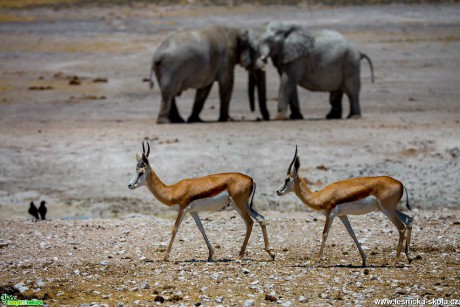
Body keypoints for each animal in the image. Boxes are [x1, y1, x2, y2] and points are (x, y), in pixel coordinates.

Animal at [127, 142, 274, 262]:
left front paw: (164, 256)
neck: (173, 190)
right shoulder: (193, 211)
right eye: (135, 170)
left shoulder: (183, 208)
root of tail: (251, 179)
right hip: (245, 205)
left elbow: (175, 228)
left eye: (141, 172)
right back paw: (270, 253)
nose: (130, 185)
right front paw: (210, 255)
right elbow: (201, 228)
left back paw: (240, 255)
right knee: (261, 219)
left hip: (238, 205)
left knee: (249, 222)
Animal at [276, 147, 414, 268]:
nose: (278, 191)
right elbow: (352, 233)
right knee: (409, 219)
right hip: (389, 209)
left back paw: (395, 261)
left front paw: (315, 261)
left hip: (387, 210)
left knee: (401, 227)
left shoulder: (331, 214)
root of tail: (400, 184)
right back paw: (409, 257)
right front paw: (364, 261)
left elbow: (325, 234)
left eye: (287, 179)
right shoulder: (342, 215)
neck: (318, 196)